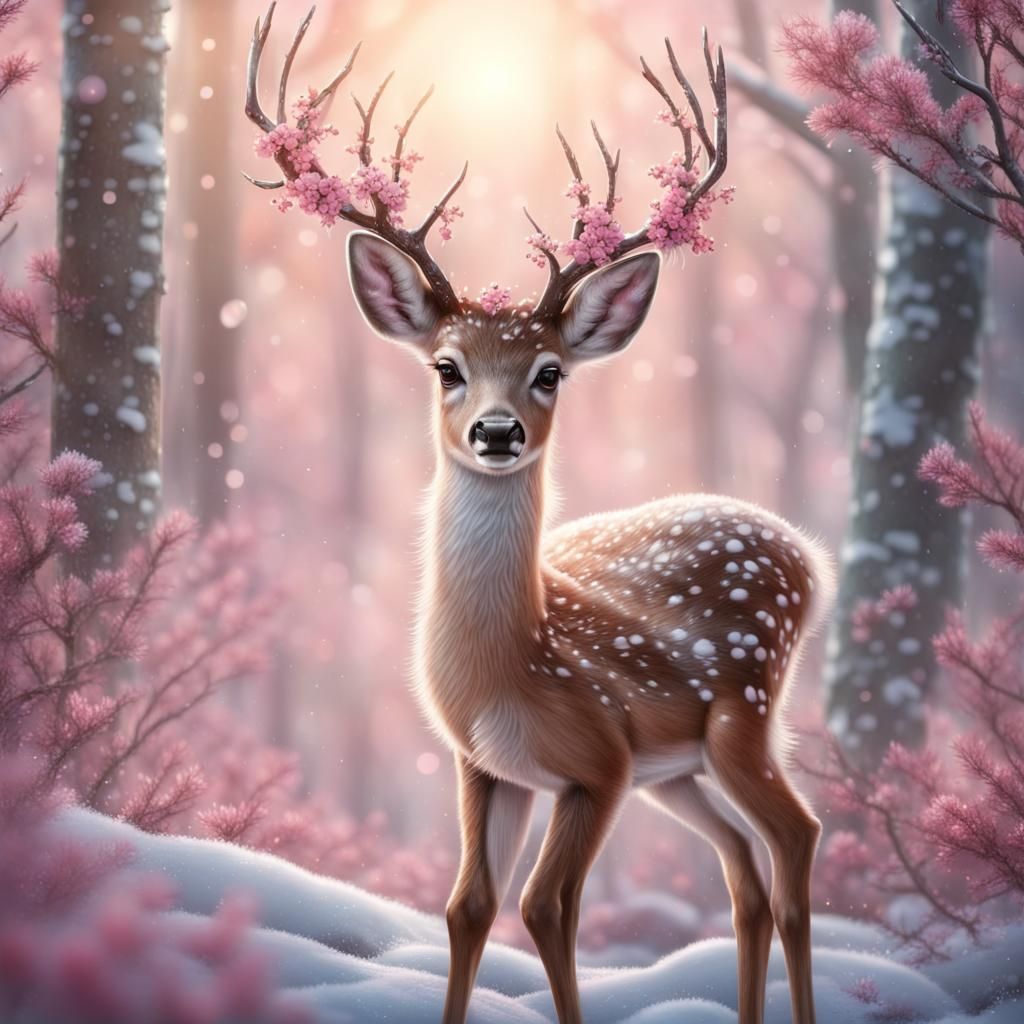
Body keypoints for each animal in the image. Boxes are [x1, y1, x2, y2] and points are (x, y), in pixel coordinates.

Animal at [246, 7, 835, 1024]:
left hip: (743, 713)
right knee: (743, 871)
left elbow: (546, 906)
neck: (506, 665)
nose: (496, 430)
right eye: (446, 366)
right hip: (680, 770)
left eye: (550, 371)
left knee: (795, 837)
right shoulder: (485, 767)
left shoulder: (597, 762)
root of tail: (807, 553)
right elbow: (467, 907)